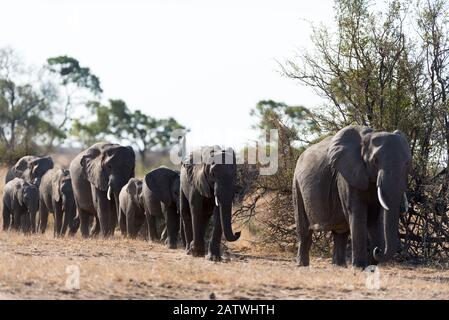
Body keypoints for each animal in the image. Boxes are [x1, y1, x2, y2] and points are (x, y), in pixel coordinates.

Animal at [292, 125, 412, 268]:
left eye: (407, 163)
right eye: (375, 161)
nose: (377, 250)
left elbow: (376, 217)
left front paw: (371, 267)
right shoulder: (346, 176)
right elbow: (358, 213)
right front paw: (360, 267)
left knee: (340, 232)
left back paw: (339, 266)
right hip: (297, 184)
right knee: (304, 230)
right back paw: (302, 265)